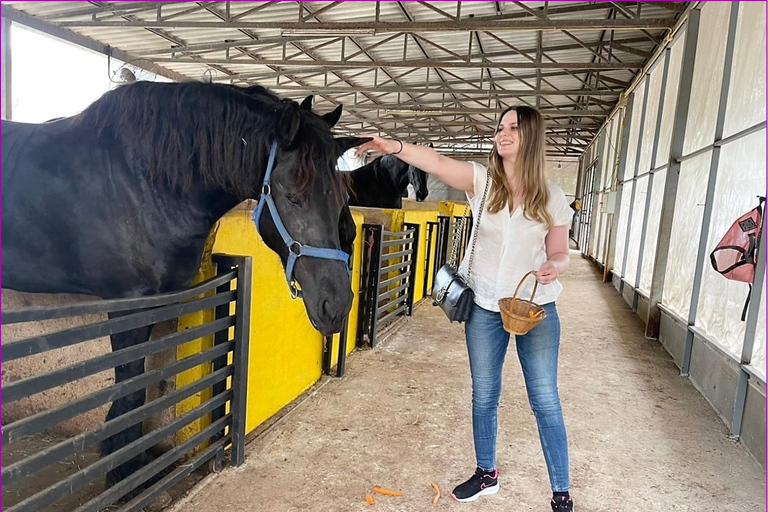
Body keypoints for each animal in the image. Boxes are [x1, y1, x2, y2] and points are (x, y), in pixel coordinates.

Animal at [0, 82, 368, 486]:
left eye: (342, 197)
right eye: (293, 197)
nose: (337, 305)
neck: (143, 181)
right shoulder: (127, 304)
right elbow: (130, 390)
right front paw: (123, 473)